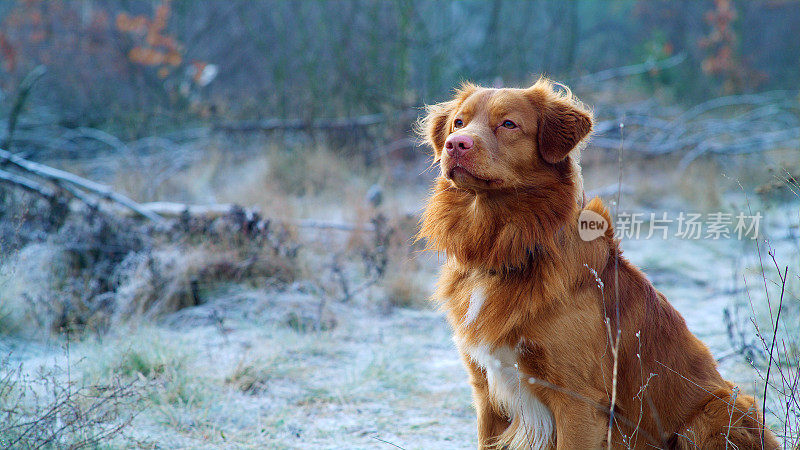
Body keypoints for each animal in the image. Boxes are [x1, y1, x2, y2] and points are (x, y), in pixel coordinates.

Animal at [416, 79, 780, 448]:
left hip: (716, 412)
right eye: (458, 123)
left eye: (508, 124)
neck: (505, 248)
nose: (455, 144)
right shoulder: (487, 392)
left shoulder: (577, 400)